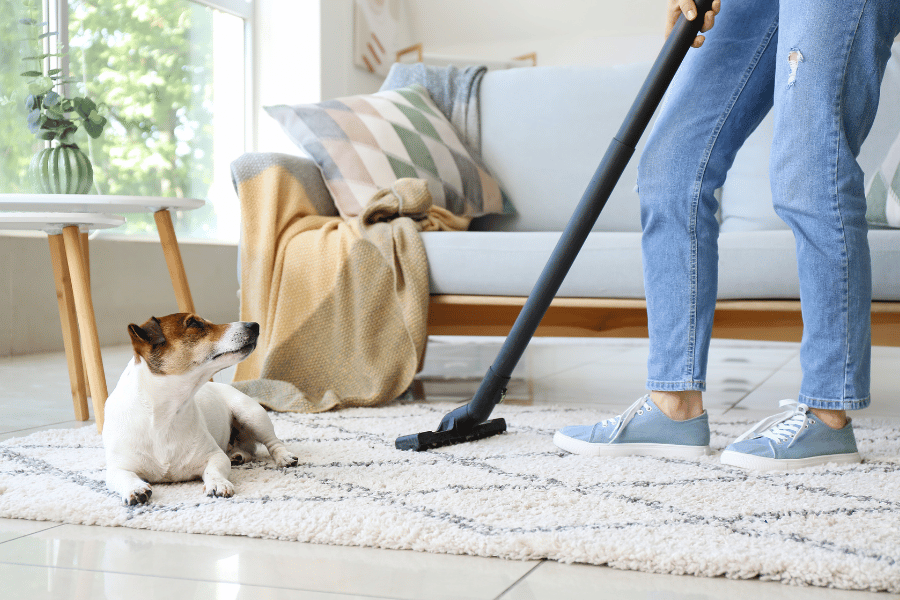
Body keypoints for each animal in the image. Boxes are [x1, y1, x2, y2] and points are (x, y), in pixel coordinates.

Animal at [102, 314, 298, 506]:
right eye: (194, 323)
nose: (255, 325)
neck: (164, 415)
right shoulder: (117, 467)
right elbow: (124, 476)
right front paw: (135, 489)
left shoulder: (215, 456)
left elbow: (214, 470)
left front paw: (218, 483)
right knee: (249, 450)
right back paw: (238, 455)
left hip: (252, 414)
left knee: (273, 442)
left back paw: (283, 457)